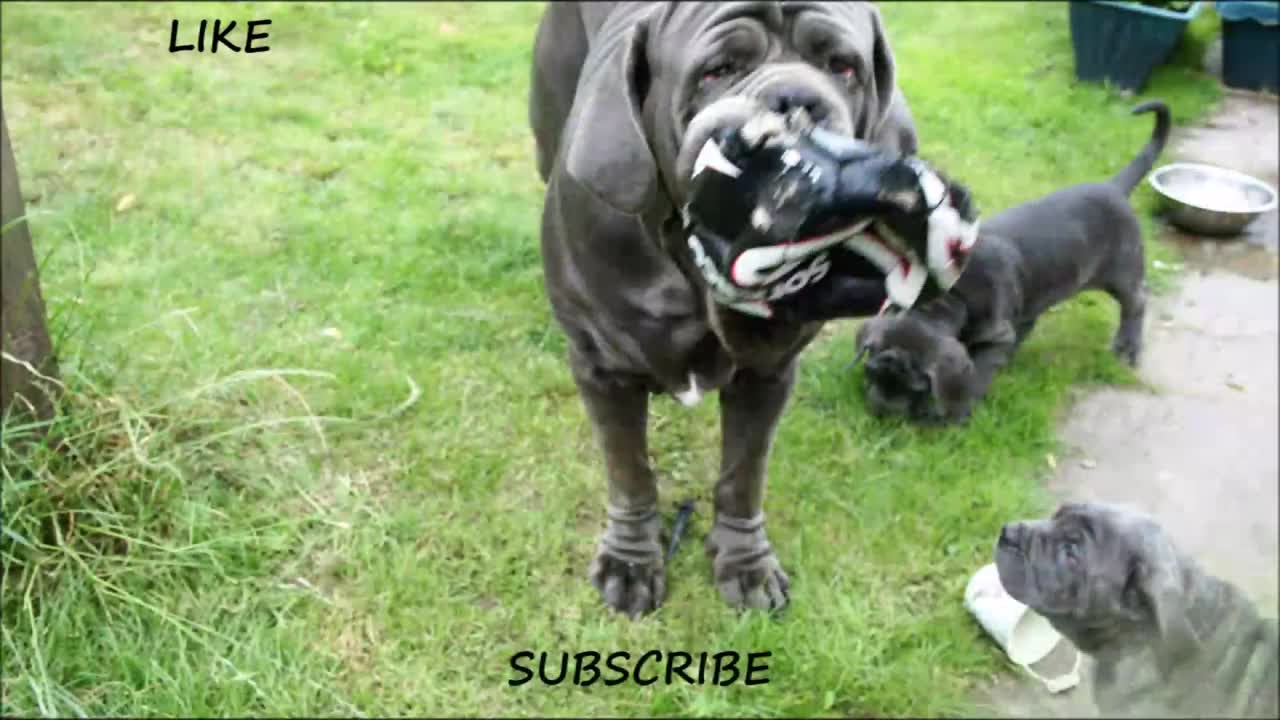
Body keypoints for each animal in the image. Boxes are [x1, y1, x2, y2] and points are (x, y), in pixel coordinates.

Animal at [524, 2, 916, 614]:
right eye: (719, 71)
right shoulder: (604, 370)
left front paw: (745, 562)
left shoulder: (768, 373)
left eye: (843, 67)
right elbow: (629, 470)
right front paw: (631, 561)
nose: (794, 101)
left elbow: (742, 473)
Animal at [849, 101, 1172, 425]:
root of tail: (1114, 188)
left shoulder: (996, 336)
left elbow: (979, 372)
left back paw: (1128, 347)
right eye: (871, 371)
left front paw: (959, 411)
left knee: (1137, 301)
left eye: (917, 388)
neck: (950, 296)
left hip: (1123, 270)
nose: (881, 414)